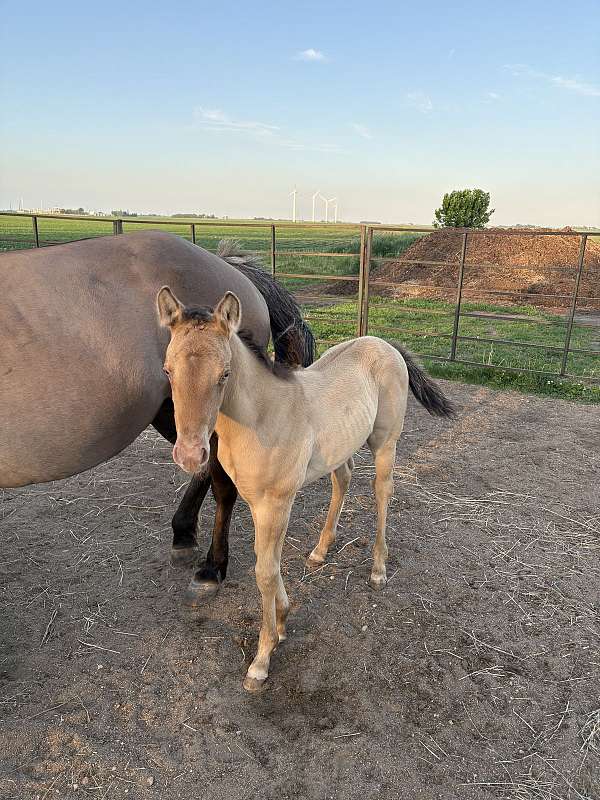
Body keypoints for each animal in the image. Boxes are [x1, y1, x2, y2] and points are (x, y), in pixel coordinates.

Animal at [0, 232, 314, 600]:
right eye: (168, 369)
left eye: (224, 374)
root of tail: (230, 267)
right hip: (173, 413)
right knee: (203, 467)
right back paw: (184, 535)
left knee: (221, 482)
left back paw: (211, 568)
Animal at [156, 287, 456, 691]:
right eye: (167, 370)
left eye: (225, 373)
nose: (190, 454)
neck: (262, 417)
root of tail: (383, 342)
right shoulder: (258, 502)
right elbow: (270, 563)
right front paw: (283, 620)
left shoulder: (276, 503)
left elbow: (265, 572)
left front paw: (262, 659)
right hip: (340, 447)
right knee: (343, 478)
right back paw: (319, 551)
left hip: (385, 443)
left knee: (382, 491)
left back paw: (378, 569)